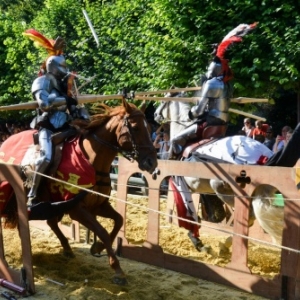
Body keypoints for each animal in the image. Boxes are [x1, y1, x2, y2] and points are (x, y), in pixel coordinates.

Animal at [0, 97, 158, 284]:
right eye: (135, 127)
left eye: (149, 128)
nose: (151, 162)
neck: (90, 160)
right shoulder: (77, 209)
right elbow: (103, 232)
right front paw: (117, 270)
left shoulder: (98, 205)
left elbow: (118, 220)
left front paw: (97, 247)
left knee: (48, 223)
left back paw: (67, 249)